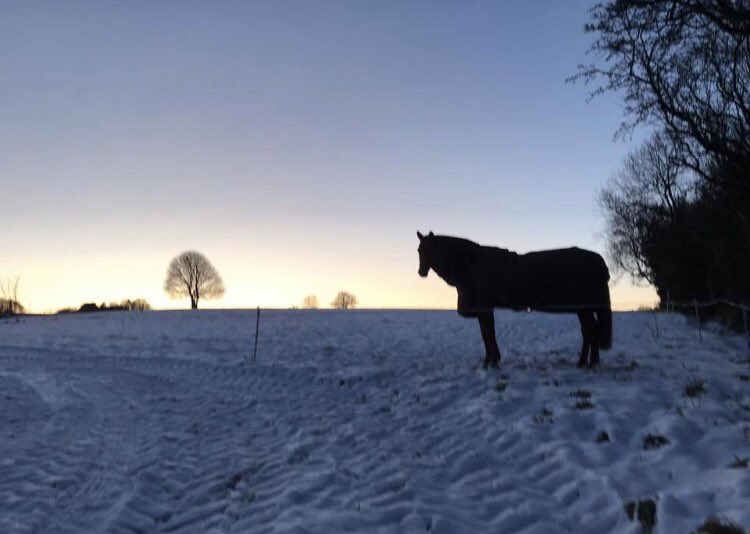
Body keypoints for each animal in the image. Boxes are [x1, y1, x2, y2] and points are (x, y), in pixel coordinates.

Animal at [416, 231, 612, 369]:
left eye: (426, 249)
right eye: (419, 250)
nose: (421, 272)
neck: (467, 264)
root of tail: (600, 262)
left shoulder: (485, 309)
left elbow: (489, 334)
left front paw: (492, 361)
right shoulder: (483, 309)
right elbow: (485, 334)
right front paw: (489, 360)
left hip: (584, 308)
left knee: (591, 331)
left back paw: (587, 362)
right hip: (583, 308)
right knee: (590, 331)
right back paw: (587, 362)